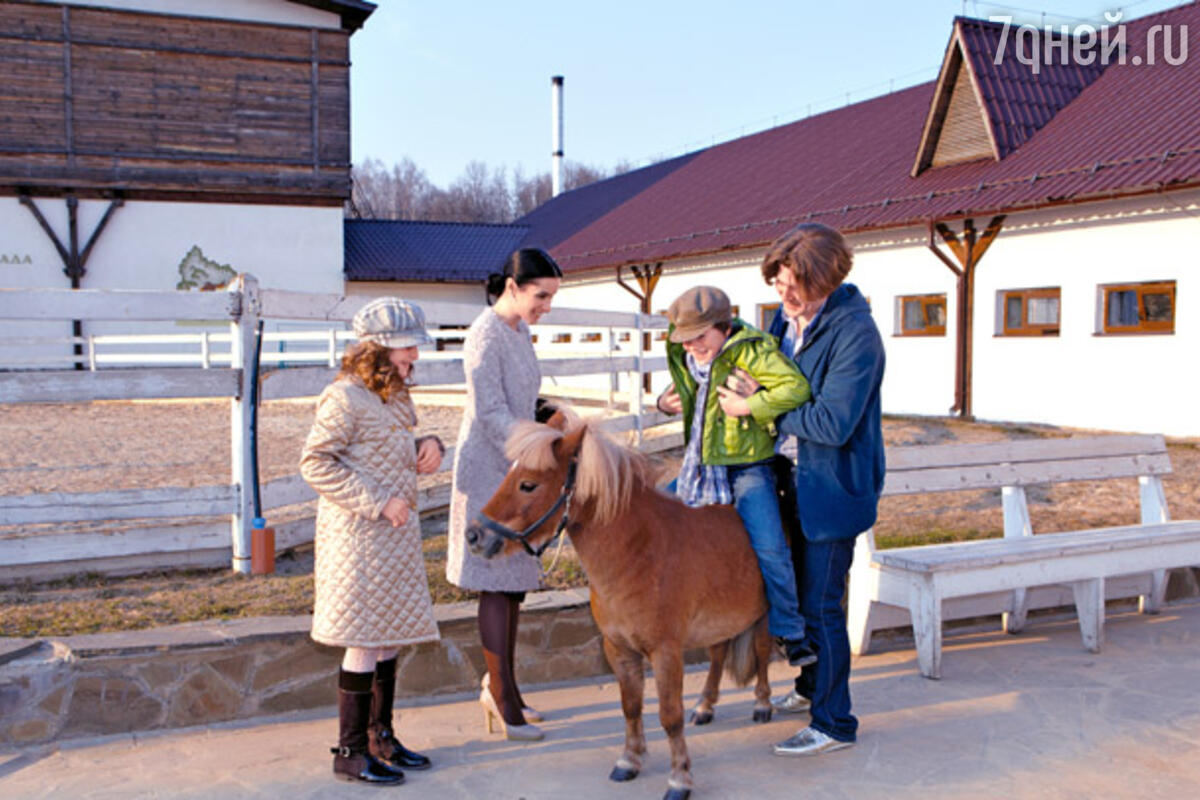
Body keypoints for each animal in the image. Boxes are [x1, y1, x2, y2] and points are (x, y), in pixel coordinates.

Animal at [463, 417, 772, 796]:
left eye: (528, 484)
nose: (474, 535)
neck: (641, 550)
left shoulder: (665, 652)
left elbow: (669, 716)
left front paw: (679, 777)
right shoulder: (619, 649)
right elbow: (631, 707)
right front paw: (630, 760)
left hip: (766, 612)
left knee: (762, 651)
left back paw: (762, 702)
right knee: (718, 653)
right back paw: (705, 705)